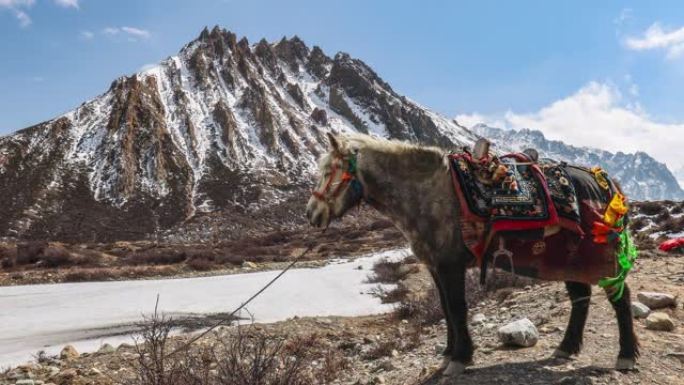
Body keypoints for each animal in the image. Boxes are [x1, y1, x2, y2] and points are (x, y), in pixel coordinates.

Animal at [304, 132, 636, 380]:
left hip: (598, 255)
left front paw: (460, 358)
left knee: (620, 297)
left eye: (328, 172)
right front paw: (449, 353)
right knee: (580, 298)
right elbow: (445, 309)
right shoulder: (436, 266)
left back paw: (626, 356)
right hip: (570, 257)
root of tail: (607, 182)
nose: (311, 214)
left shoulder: (451, 265)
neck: (427, 193)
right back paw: (566, 348)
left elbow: (457, 307)